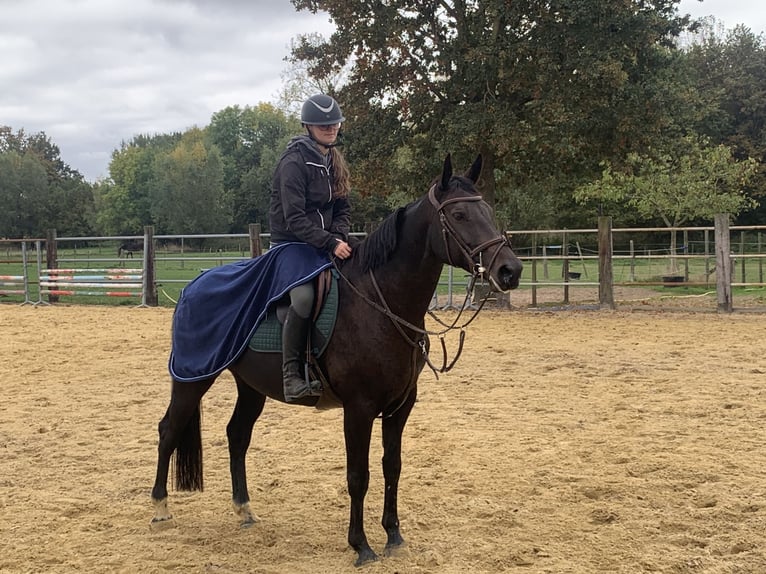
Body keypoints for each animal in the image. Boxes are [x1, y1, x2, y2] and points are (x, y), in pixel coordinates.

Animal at [150, 154, 524, 566]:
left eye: (487, 211)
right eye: (458, 214)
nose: (510, 270)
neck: (380, 305)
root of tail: (193, 285)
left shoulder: (401, 406)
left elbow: (392, 467)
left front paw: (394, 535)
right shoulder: (358, 408)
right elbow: (358, 476)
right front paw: (361, 545)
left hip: (250, 386)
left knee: (237, 434)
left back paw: (244, 510)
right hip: (192, 377)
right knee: (169, 430)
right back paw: (160, 509)